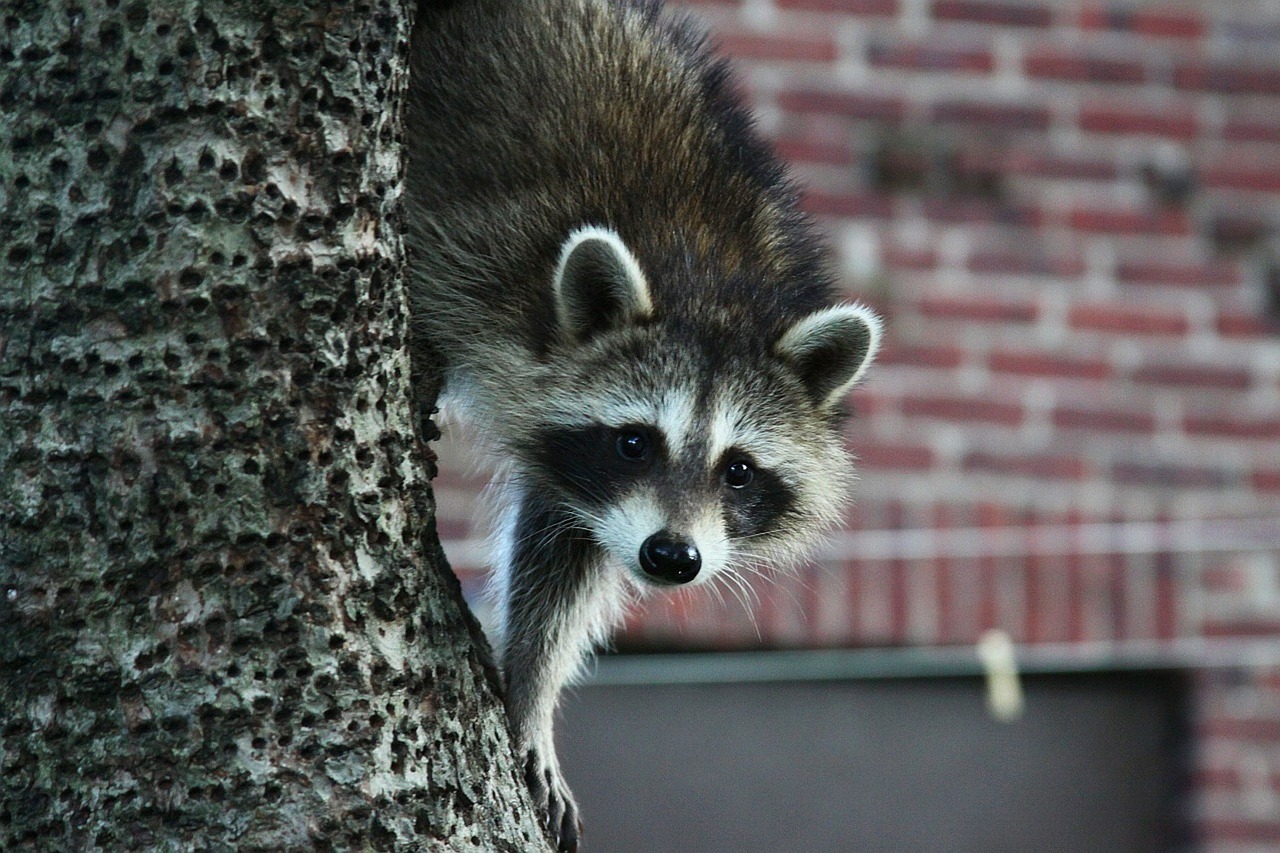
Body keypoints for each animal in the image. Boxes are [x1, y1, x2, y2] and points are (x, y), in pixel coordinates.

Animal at [406, 1, 880, 849]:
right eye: (634, 441)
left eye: (739, 469)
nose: (671, 556)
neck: (708, 283)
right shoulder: (475, 254)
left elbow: (566, 553)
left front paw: (530, 687)